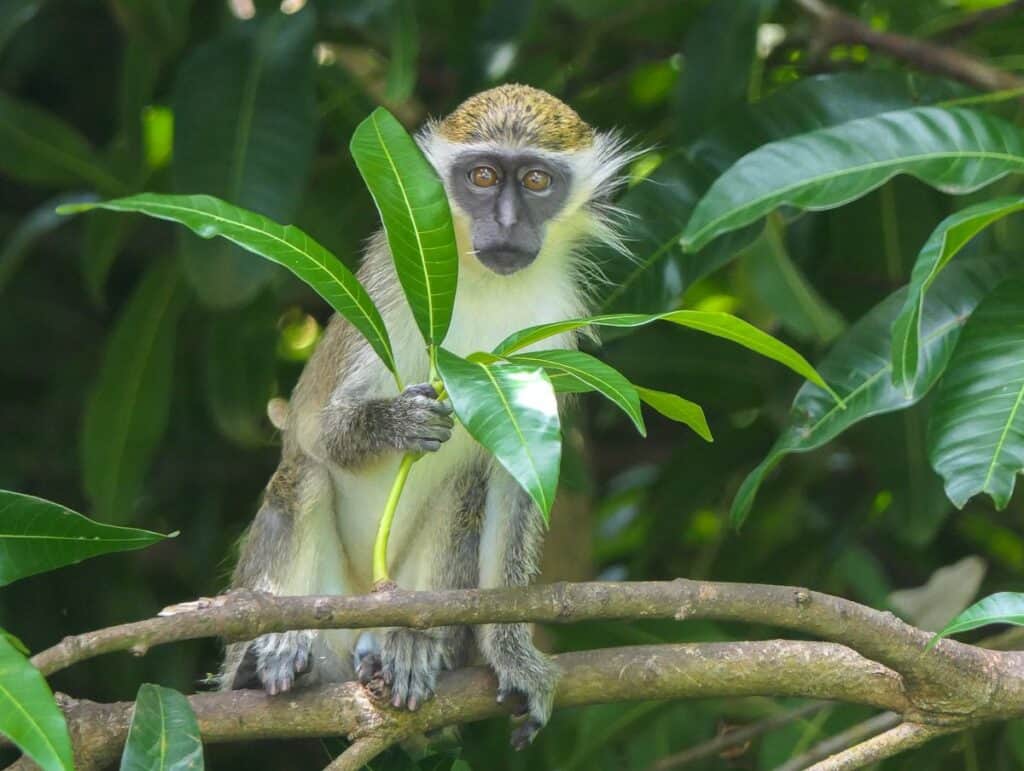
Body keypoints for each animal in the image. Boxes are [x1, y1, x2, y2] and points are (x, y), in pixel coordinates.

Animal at [220, 84, 633, 749]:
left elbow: (517, 481)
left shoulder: (549, 336)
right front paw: (395, 422)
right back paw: (265, 656)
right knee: (300, 476)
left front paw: (513, 655)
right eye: (483, 176)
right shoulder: (388, 286)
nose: (508, 224)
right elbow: (311, 427)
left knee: (464, 493)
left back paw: (410, 645)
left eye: (537, 180)